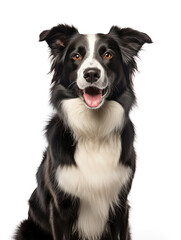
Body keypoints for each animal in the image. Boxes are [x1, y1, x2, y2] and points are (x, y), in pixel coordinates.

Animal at [14, 24, 152, 240]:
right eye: (76, 56)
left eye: (108, 54)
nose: (91, 74)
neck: (93, 132)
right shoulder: (60, 206)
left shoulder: (120, 205)